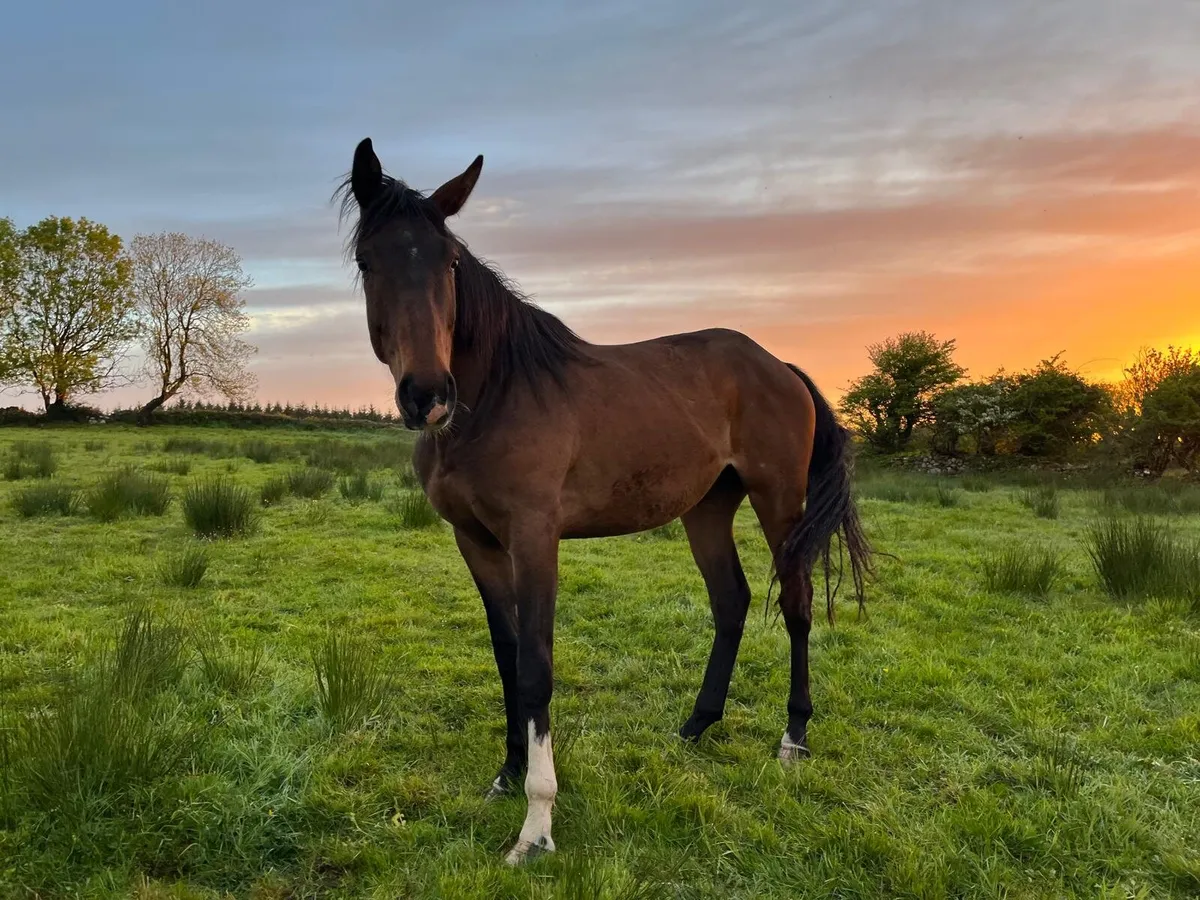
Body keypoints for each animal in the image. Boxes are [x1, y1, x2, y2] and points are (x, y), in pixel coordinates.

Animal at [336, 138, 873, 865]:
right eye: (369, 260)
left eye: (448, 261)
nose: (428, 395)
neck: (496, 396)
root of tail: (779, 367)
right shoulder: (475, 541)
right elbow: (506, 655)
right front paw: (507, 773)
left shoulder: (535, 539)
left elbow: (536, 668)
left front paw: (537, 825)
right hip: (707, 509)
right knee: (730, 601)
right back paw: (696, 725)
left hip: (778, 498)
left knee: (796, 604)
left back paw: (793, 738)